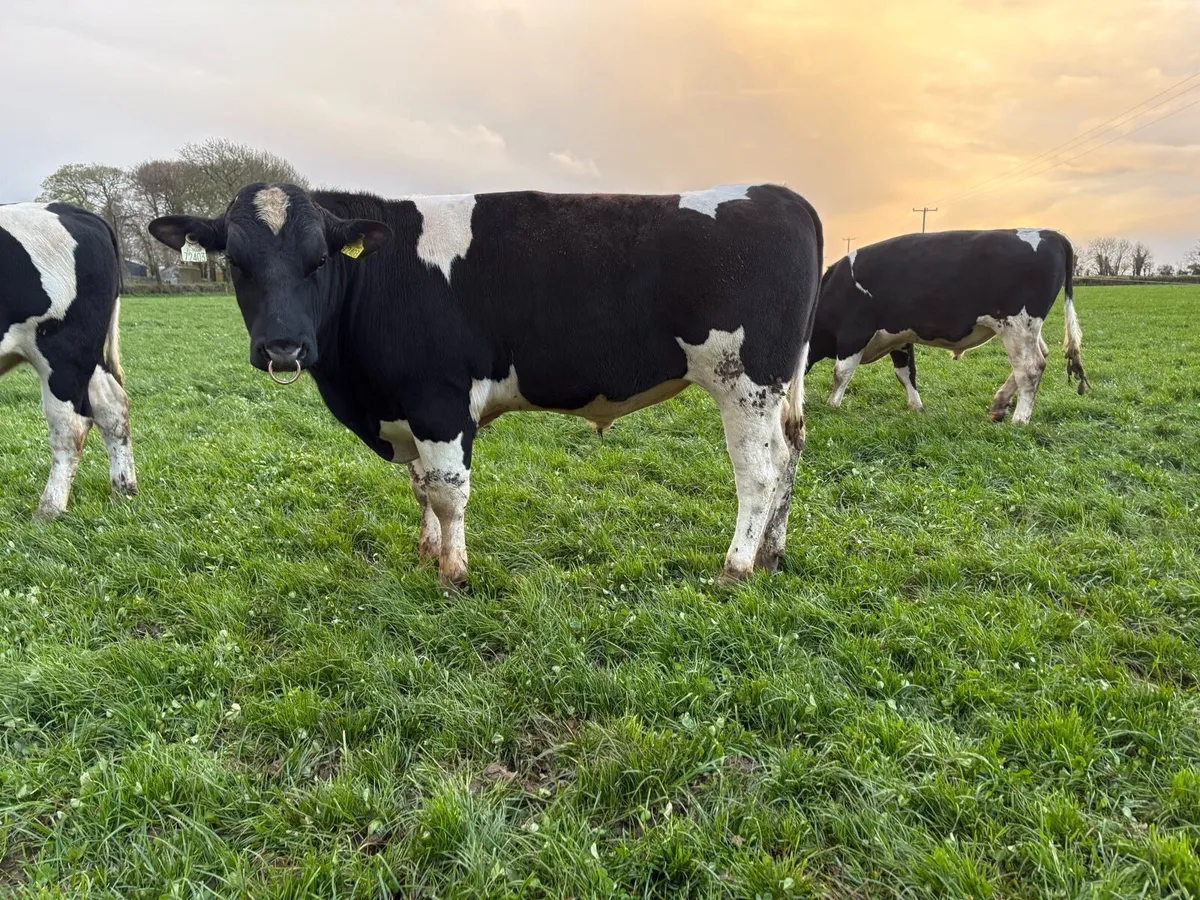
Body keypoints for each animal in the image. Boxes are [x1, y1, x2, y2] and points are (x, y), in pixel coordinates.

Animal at [1, 202, 136, 518]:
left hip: (63, 352)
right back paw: (123, 490)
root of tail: (70, 209)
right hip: (88, 356)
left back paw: (49, 509)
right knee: (112, 407)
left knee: (70, 424)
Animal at [149, 182, 822, 586]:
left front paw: (454, 572)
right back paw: (772, 553)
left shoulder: (439, 402)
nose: (283, 347)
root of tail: (779, 193)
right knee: (790, 454)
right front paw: (427, 552)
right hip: (775, 388)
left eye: (319, 260)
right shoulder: (404, 408)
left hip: (745, 381)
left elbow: (448, 492)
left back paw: (737, 565)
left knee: (758, 473)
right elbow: (420, 487)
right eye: (236, 264)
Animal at [810, 229, 1089, 425]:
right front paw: (915, 406)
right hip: (1027, 328)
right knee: (1040, 356)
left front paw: (831, 405)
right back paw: (999, 406)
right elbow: (905, 373)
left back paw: (1020, 419)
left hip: (1017, 325)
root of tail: (1050, 233)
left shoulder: (853, 333)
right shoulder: (900, 338)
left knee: (1030, 368)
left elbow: (841, 372)